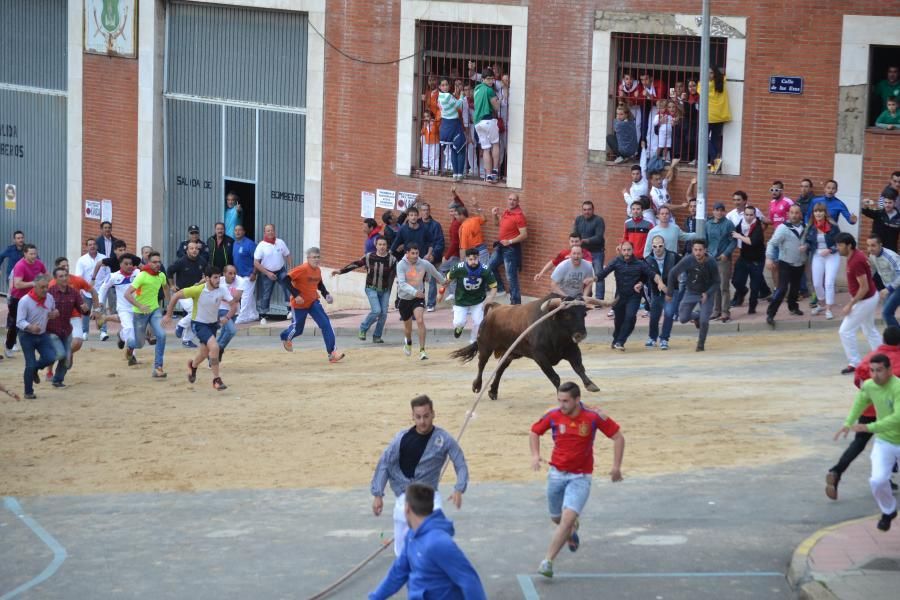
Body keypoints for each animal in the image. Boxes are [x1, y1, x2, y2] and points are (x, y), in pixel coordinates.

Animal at [308, 298, 596, 596]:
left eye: (582, 313)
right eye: (567, 315)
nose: (581, 333)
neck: (556, 329)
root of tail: (494, 308)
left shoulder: (569, 350)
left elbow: (579, 367)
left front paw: (590, 385)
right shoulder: (540, 356)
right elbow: (556, 376)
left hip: (512, 350)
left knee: (501, 367)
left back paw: (492, 390)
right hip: (489, 344)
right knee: (484, 364)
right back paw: (479, 386)